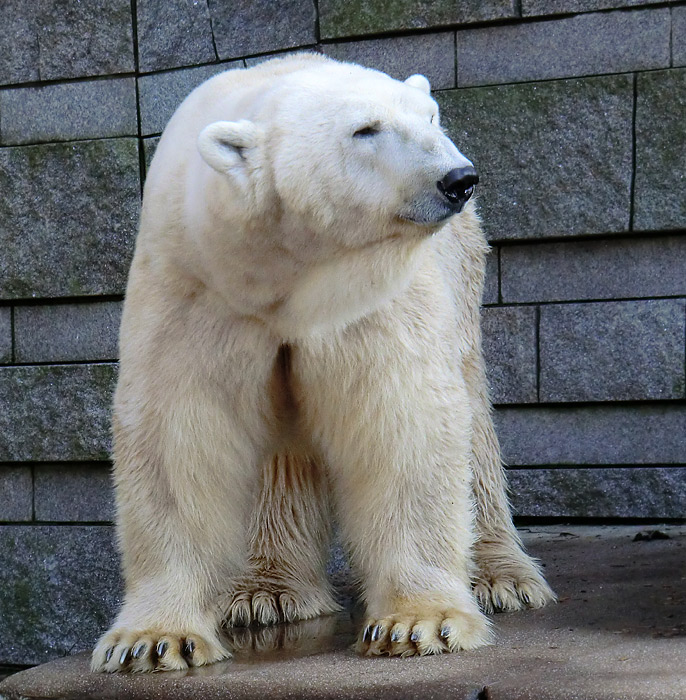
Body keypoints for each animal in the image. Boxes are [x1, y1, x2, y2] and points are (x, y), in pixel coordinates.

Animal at [91, 54, 556, 672]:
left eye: (430, 117)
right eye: (366, 129)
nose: (458, 178)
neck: (287, 270)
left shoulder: (374, 294)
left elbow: (401, 422)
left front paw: (417, 624)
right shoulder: (195, 284)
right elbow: (180, 434)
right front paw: (152, 641)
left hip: (460, 273)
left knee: (470, 421)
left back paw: (501, 577)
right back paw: (264, 592)